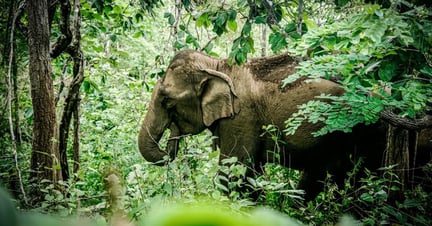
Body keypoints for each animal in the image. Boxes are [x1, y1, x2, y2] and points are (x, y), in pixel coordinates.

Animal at [138, 50, 428, 200]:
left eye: (166, 99)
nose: (170, 143)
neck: (217, 64)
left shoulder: (242, 118)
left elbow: (233, 174)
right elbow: (251, 173)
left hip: (365, 130)